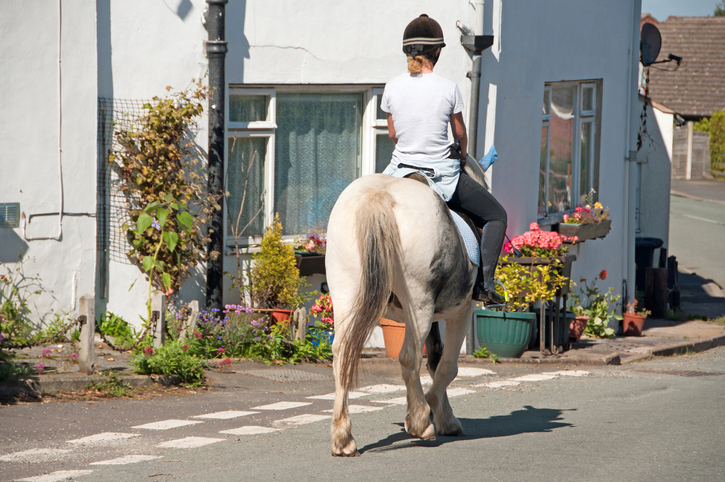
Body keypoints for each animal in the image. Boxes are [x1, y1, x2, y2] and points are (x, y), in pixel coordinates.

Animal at [326, 160, 486, 458]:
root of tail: (378, 196)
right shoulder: (462, 311)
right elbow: (447, 366)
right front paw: (435, 413)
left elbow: (435, 360)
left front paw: (443, 416)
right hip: (419, 302)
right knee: (410, 356)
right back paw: (421, 422)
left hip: (346, 293)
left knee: (341, 354)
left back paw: (343, 438)